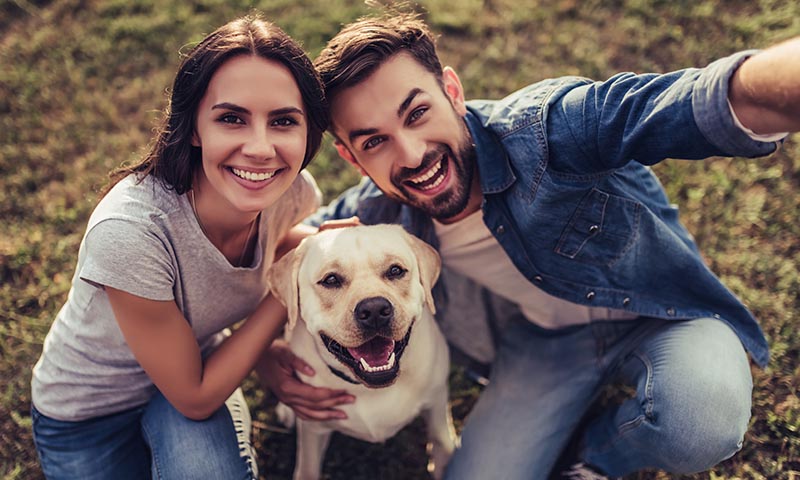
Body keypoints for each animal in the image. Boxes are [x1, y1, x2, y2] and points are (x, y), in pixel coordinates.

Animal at [268, 225, 456, 480]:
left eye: (395, 270)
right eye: (331, 280)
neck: (368, 389)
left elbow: (440, 438)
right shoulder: (313, 429)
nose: (375, 309)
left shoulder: (436, 398)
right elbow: (307, 469)